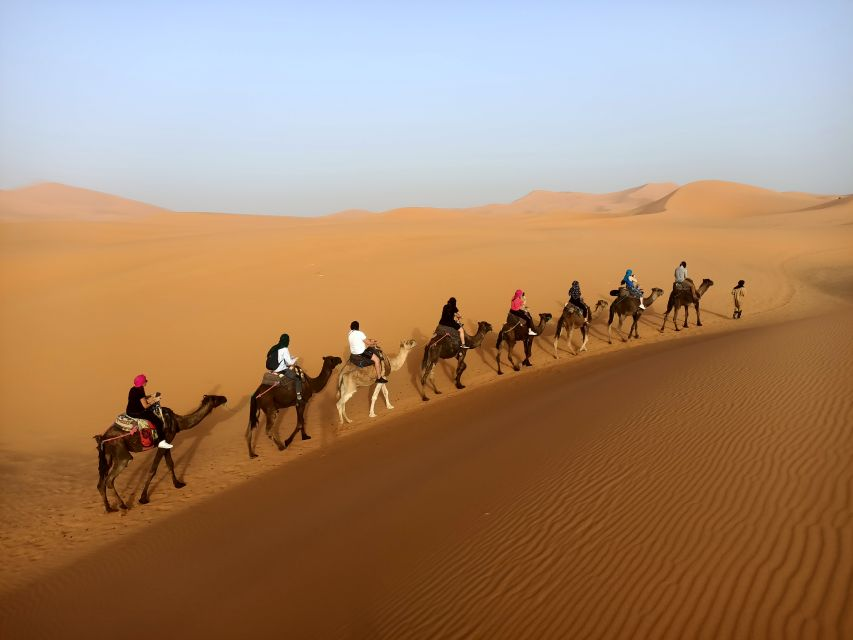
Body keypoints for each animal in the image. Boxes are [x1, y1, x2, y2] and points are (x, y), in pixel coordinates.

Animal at [94, 392, 226, 512]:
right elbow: (153, 469)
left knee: (101, 483)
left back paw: (109, 508)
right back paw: (123, 505)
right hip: (121, 452)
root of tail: (103, 438)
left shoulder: (167, 442)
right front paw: (143, 498)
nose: (225, 398)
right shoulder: (163, 442)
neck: (177, 422)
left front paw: (178, 484)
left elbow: (170, 464)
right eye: (215, 398)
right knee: (110, 479)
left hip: (108, 455)